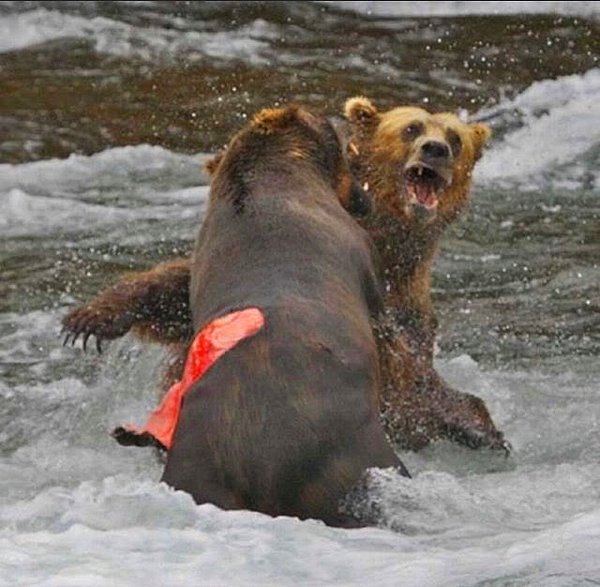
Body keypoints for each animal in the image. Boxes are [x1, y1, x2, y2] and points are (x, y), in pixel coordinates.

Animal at [64, 97, 506, 454]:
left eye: (455, 137)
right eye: (411, 128)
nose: (436, 150)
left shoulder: (404, 310)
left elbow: (409, 372)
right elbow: (171, 290)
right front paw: (88, 320)